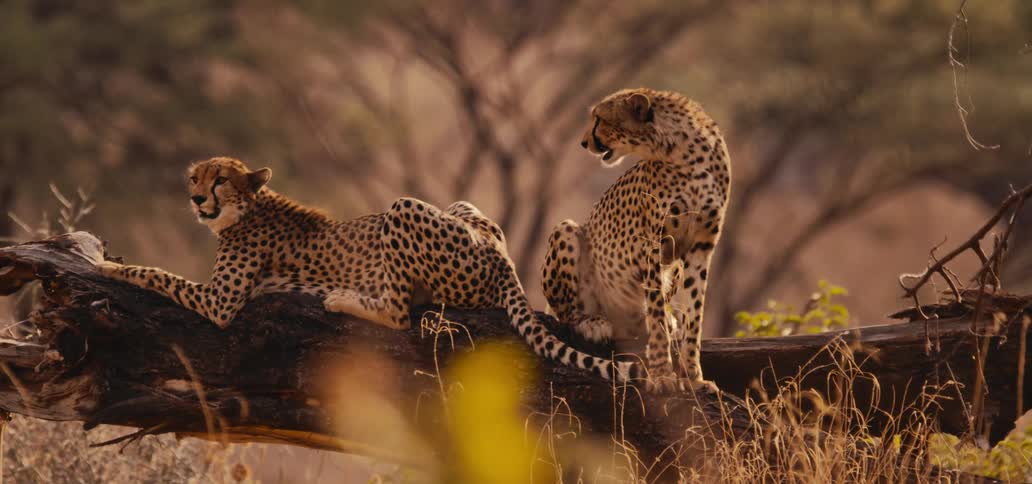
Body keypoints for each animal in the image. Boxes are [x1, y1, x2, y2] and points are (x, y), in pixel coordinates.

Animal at [96, 157, 636, 382]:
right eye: (195, 177)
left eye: (220, 179)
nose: (195, 198)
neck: (250, 207)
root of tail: (499, 254)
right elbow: (163, 273)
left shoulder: (221, 302)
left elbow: (158, 274)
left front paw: (106, 265)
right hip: (460, 207)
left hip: (401, 209)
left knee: (398, 312)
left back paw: (343, 299)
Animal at [541, 88, 731, 393]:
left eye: (599, 119)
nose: (583, 143)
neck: (685, 154)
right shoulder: (651, 244)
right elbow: (655, 314)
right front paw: (663, 375)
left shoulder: (701, 246)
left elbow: (694, 314)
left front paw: (693, 378)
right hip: (566, 229)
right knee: (567, 312)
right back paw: (591, 322)